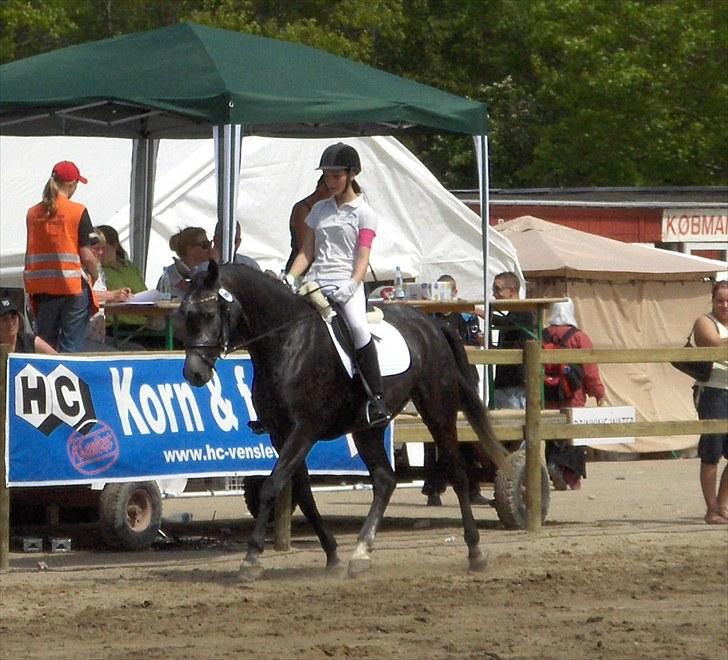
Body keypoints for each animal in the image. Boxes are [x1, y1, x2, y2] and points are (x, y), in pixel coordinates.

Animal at [179, 260, 510, 580]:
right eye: (184, 314)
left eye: (209, 313)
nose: (193, 373)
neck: (287, 342)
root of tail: (432, 323)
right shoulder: (280, 435)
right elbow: (303, 494)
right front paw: (333, 555)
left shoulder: (304, 430)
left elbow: (271, 487)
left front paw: (251, 558)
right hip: (368, 429)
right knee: (385, 479)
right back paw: (361, 554)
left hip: (437, 410)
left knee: (457, 473)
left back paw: (475, 552)